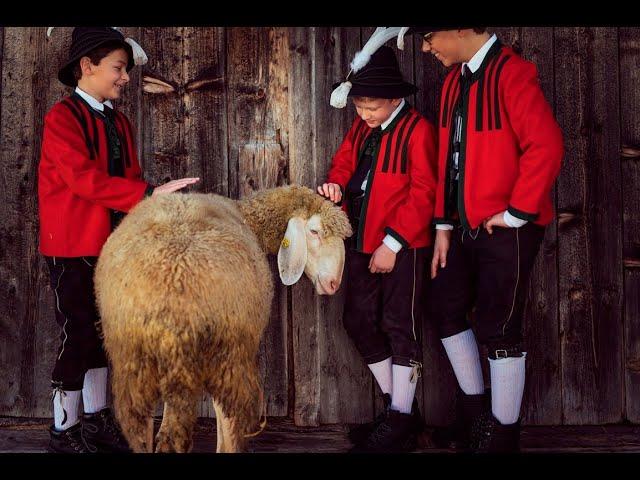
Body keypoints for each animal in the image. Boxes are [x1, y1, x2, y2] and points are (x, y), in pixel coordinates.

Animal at [95, 186, 352, 452]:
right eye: (314, 231)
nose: (333, 284)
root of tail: (174, 287)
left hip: (135, 361)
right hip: (227, 353)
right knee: (227, 425)